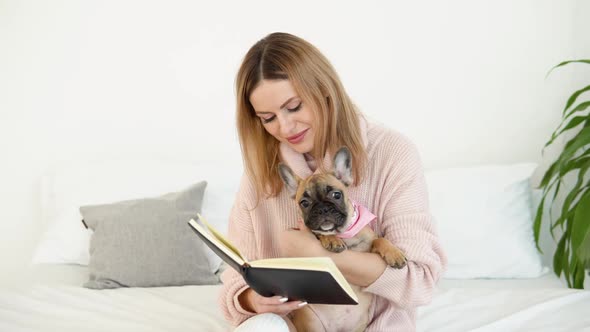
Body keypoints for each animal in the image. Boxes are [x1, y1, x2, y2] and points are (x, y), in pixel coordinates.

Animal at [278, 147, 408, 332]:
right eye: (304, 203)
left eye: (336, 194)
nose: (322, 209)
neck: (346, 234)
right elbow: (321, 233)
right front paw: (332, 240)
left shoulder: (369, 241)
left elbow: (380, 240)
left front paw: (394, 253)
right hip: (311, 322)